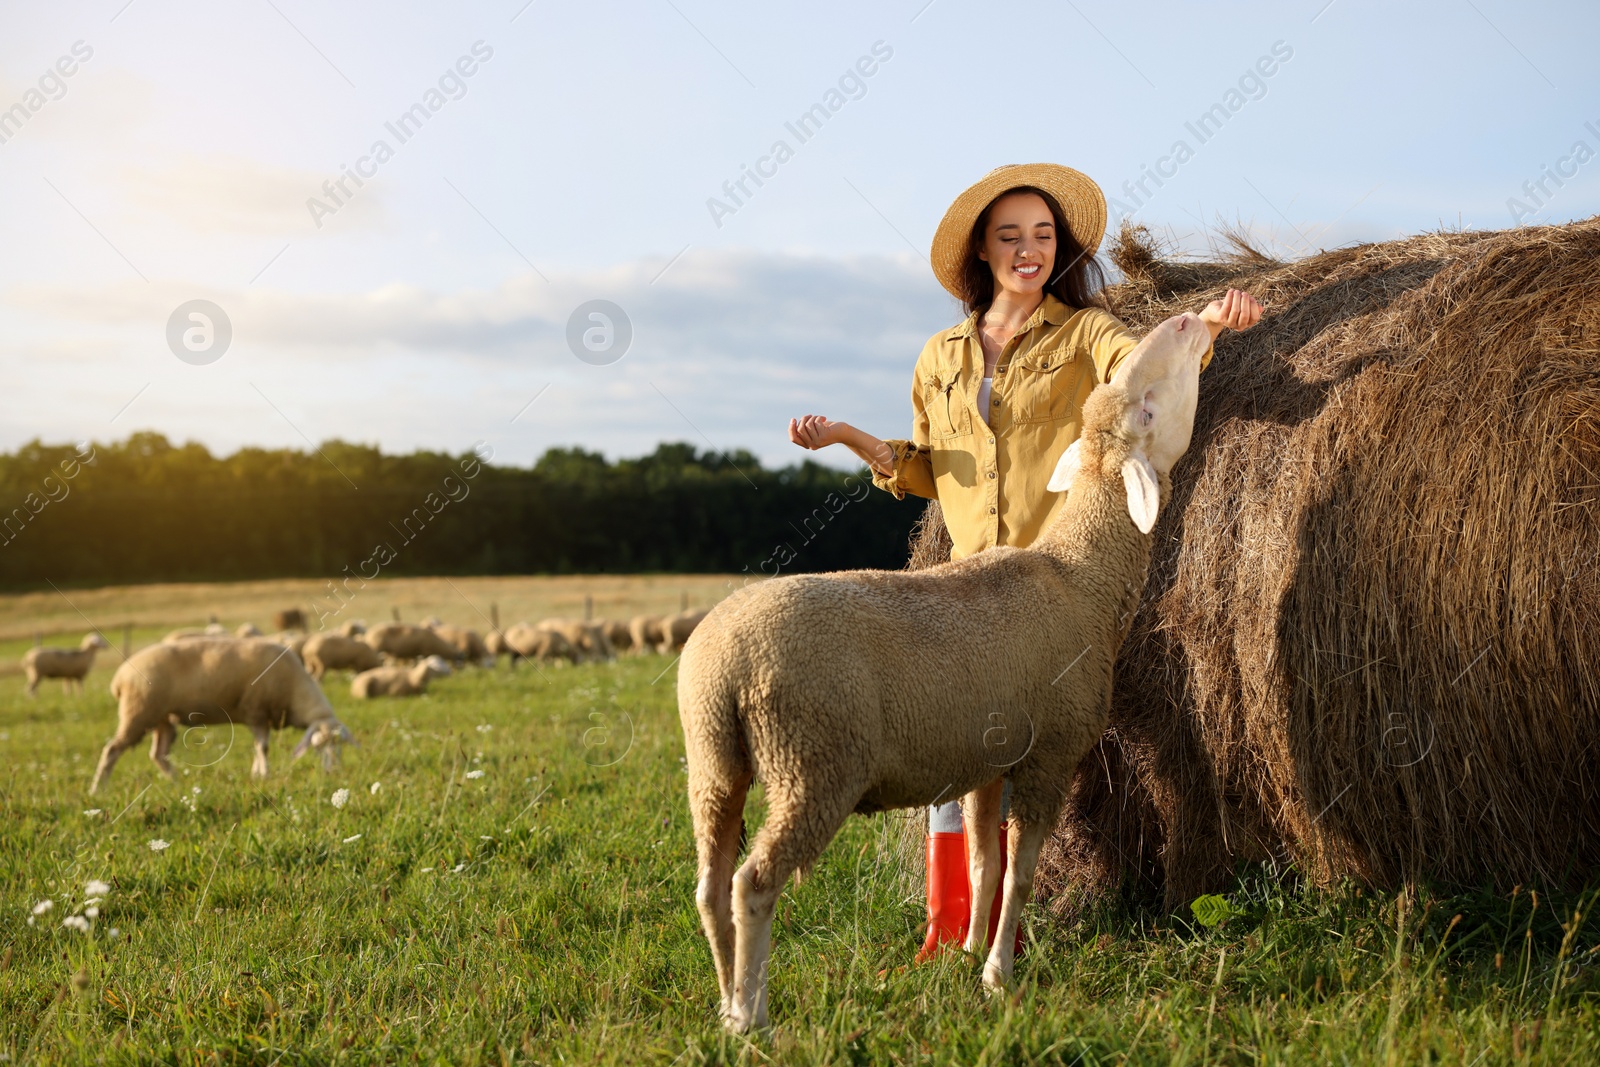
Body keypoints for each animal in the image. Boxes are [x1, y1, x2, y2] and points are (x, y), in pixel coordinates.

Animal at [91, 633, 353, 793]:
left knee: (159, 754)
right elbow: (263, 748)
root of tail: (119, 677)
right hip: (138, 712)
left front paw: (256, 774)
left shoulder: (259, 717)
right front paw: (264, 775)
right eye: (318, 746)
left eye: (339, 745)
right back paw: (98, 789)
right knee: (112, 750)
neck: (294, 690)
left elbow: (258, 747)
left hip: (162, 718)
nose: (332, 772)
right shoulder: (256, 711)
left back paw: (176, 782)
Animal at [681, 313, 1203, 1030]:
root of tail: (724, 662)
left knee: (709, 887)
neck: (1082, 575)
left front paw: (968, 954)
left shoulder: (991, 758)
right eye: (1147, 406)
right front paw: (999, 974)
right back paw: (751, 1016)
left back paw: (726, 1003)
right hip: (812, 763)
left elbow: (984, 865)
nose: (1186, 320)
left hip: (714, 761)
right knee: (753, 884)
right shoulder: (1049, 757)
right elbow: (1020, 873)